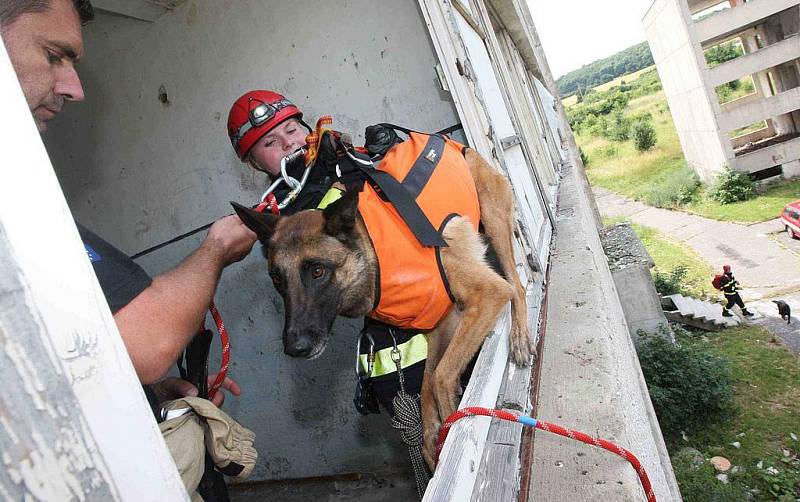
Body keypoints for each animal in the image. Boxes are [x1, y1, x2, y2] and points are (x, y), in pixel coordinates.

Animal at [231, 147, 532, 468]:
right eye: (277, 278)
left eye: (317, 271)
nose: (294, 347)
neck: (374, 258)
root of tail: (459, 146)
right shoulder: (442, 322)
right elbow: (427, 385)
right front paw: (432, 440)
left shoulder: (488, 293)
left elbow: (440, 376)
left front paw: (450, 423)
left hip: (493, 218)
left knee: (516, 284)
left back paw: (519, 336)